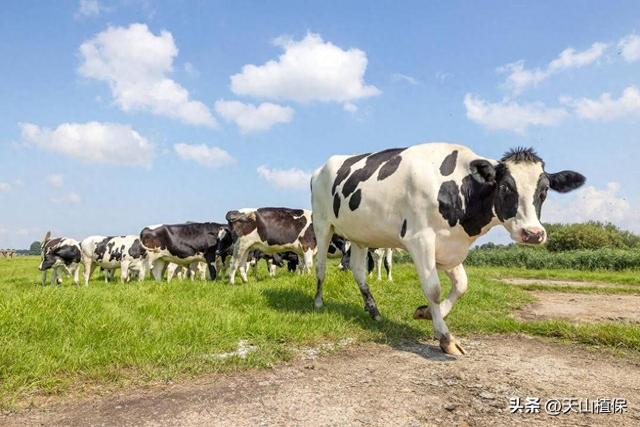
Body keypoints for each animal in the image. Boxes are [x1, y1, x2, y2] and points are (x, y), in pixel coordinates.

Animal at [310, 145, 584, 356]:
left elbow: (461, 285)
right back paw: (318, 302)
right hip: (323, 224)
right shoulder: (420, 240)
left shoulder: (450, 246)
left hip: (360, 234)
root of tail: (321, 167)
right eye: (506, 187)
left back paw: (374, 310)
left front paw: (427, 314)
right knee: (321, 267)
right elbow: (433, 289)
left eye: (544, 190)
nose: (533, 233)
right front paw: (445, 338)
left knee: (359, 271)